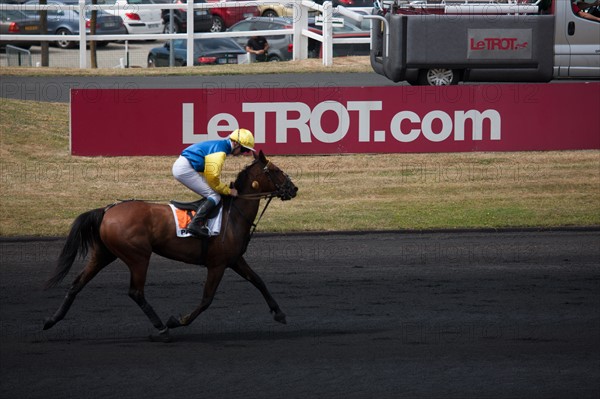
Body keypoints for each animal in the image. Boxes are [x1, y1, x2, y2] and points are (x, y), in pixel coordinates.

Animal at [41, 151, 298, 344]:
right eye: (276, 170)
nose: (293, 188)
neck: (233, 215)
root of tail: (107, 210)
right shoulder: (217, 264)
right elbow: (207, 299)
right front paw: (178, 321)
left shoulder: (234, 260)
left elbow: (259, 281)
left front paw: (279, 312)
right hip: (138, 256)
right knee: (135, 292)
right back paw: (162, 328)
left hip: (104, 254)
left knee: (77, 284)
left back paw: (51, 320)